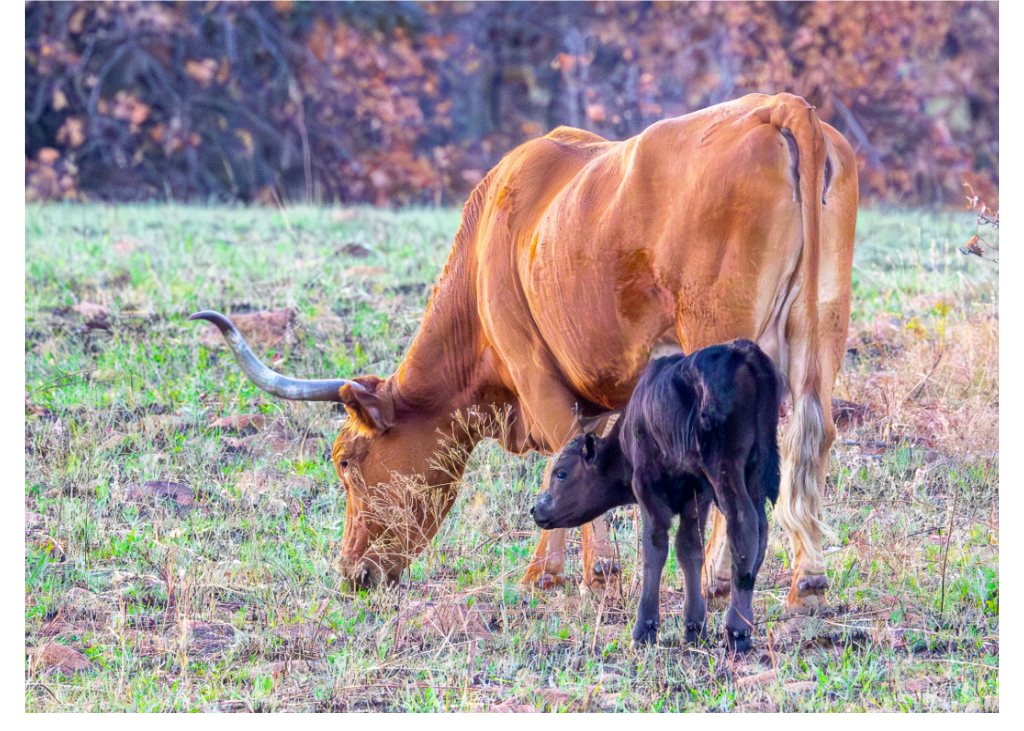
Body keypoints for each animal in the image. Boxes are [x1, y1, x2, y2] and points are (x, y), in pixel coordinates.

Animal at [193, 92, 857, 613]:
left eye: (346, 461)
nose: (353, 575)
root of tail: (781, 106)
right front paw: (552, 566)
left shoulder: (535, 371)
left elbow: (566, 451)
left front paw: (590, 573)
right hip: (822, 330)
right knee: (812, 435)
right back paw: (808, 579)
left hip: (718, 337)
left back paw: (720, 579)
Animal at [531, 340, 783, 652]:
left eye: (561, 473)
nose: (537, 508)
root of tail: (742, 351)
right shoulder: (696, 493)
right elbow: (689, 548)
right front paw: (693, 627)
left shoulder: (648, 486)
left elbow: (655, 548)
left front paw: (644, 630)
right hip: (755, 471)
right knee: (760, 528)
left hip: (725, 467)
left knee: (742, 524)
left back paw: (736, 631)